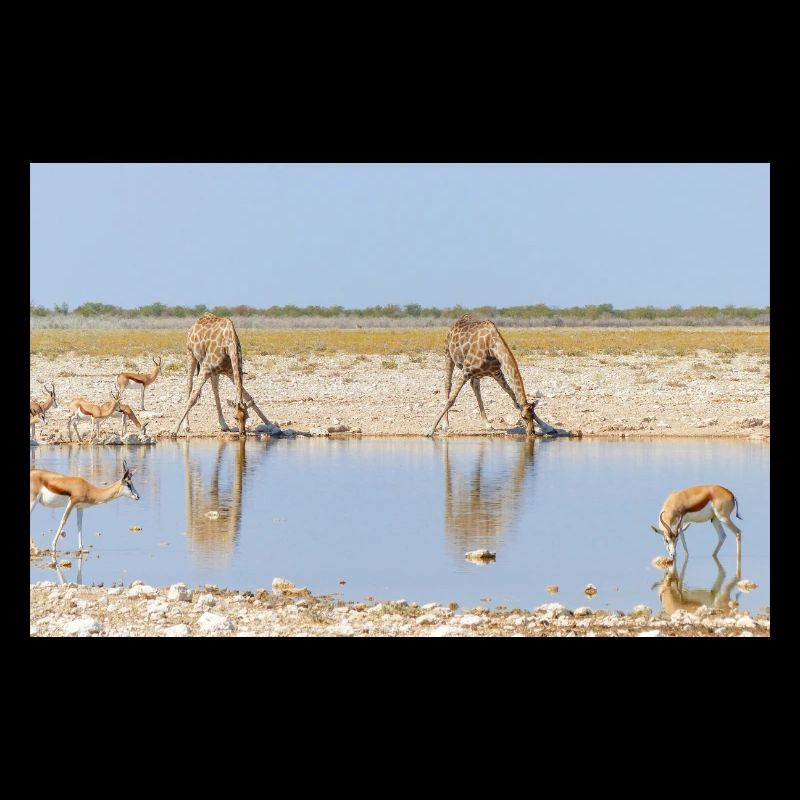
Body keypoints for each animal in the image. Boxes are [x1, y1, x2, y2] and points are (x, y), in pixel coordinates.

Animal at [429, 315, 557, 437]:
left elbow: (513, 396)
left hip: (476, 373)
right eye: (524, 417)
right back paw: (445, 424)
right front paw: (430, 430)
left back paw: (487, 424)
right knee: (447, 384)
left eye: (533, 415)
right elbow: (451, 400)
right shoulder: (466, 371)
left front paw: (547, 426)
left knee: (475, 387)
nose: (531, 432)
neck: (492, 347)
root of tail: (458, 321)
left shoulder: (497, 372)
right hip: (448, 355)